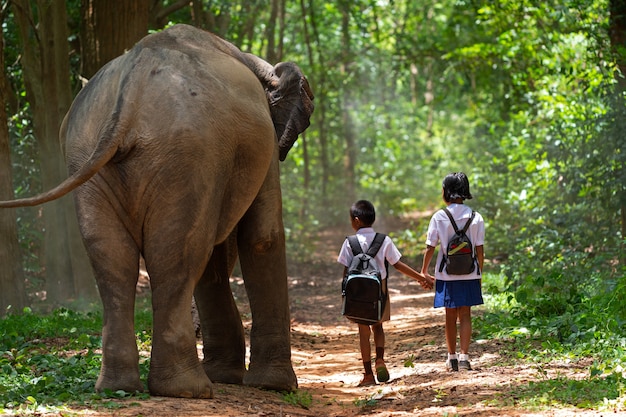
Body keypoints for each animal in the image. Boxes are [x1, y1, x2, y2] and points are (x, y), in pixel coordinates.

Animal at [0, 24, 312, 398]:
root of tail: (132, 89)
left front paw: (230, 377)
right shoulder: (262, 143)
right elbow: (262, 237)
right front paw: (275, 387)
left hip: (90, 156)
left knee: (114, 258)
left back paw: (118, 387)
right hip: (187, 155)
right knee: (180, 254)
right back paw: (189, 390)